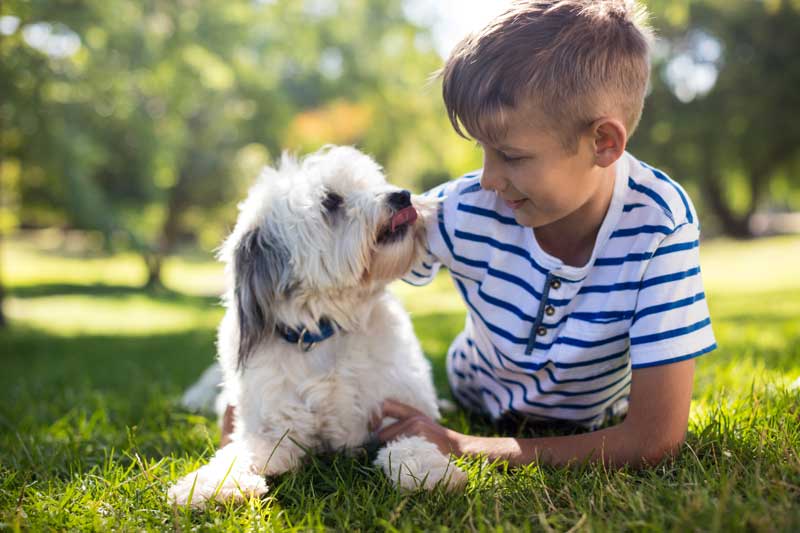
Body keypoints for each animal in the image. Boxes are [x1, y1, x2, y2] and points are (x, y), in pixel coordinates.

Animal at [170, 145, 468, 508]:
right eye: (331, 201)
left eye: (371, 182)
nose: (402, 196)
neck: (327, 329)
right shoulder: (273, 430)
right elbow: (236, 453)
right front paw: (207, 485)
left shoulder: (397, 413)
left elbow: (413, 439)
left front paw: (430, 471)